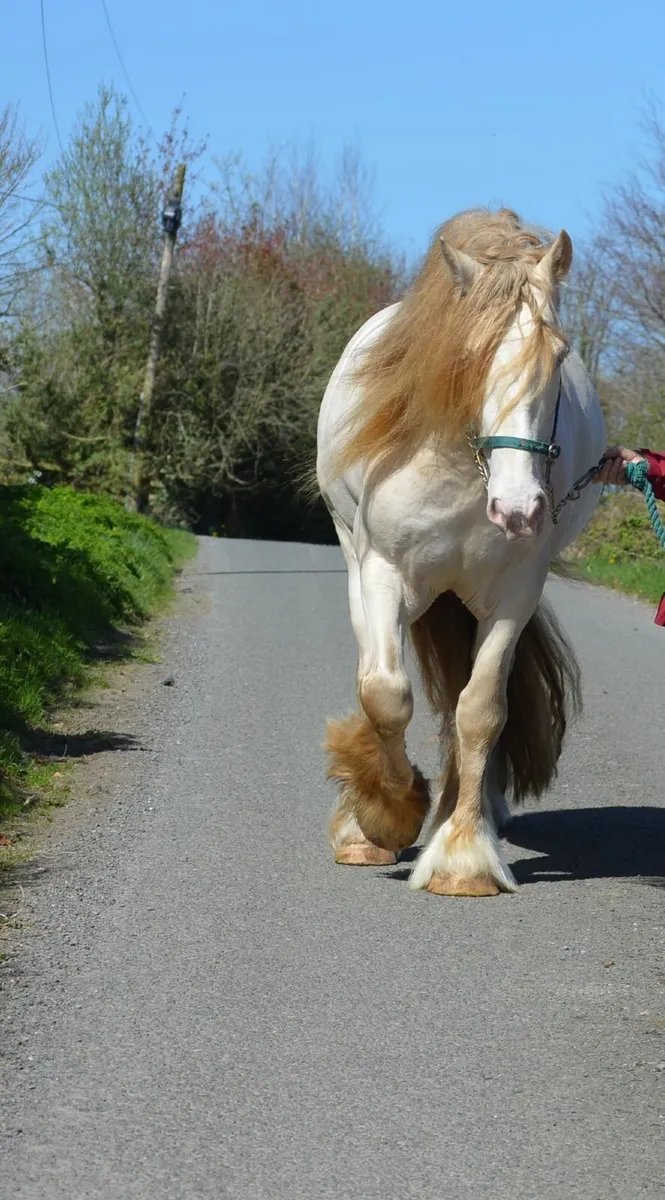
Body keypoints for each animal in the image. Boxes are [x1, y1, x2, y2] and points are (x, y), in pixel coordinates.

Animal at [315, 207, 605, 897]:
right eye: (471, 356)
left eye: (558, 356)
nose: (519, 508)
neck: (461, 470)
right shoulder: (385, 575)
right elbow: (385, 694)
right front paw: (387, 815)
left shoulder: (513, 596)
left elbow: (479, 711)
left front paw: (464, 855)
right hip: (357, 565)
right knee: (376, 672)